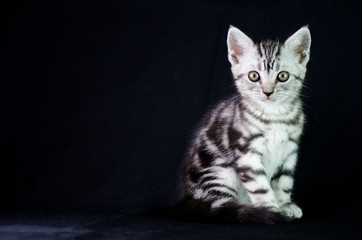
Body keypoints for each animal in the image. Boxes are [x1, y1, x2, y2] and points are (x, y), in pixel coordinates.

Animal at [180, 25, 312, 223]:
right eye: (254, 76)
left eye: (282, 76)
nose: (267, 92)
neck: (275, 117)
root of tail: (190, 197)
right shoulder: (246, 153)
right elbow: (260, 187)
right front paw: (271, 209)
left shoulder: (289, 152)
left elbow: (284, 182)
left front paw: (285, 205)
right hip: (220, 172)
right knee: (219, 203)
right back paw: (243, 209)